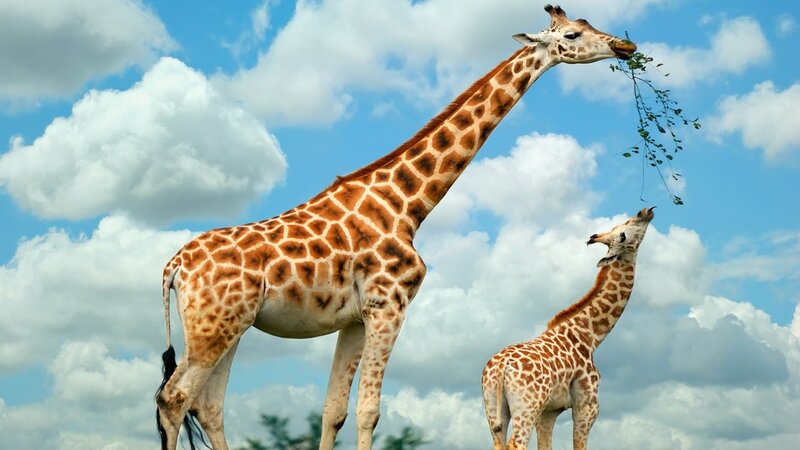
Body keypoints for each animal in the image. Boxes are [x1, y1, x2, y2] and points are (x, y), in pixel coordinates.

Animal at [154, 5, 637, 450]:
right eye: (572, 34)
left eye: (589, 23)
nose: (625, 46)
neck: (409, 206)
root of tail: (173, 267)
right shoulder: (389, 305)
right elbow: (369, 411)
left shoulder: (354, 318)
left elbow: (333, 410)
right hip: (214, 328)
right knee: (173, 398)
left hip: (230, 326)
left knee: (209, 405)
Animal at [480, 207, 655, 450]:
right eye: (622, 234)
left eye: (619, 227)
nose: (645, 211)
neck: (590, 336)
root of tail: (499, 369)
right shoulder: (587, 406)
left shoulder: (549, 411)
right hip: (527, 406)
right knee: (517, 444)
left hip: (493, 408)